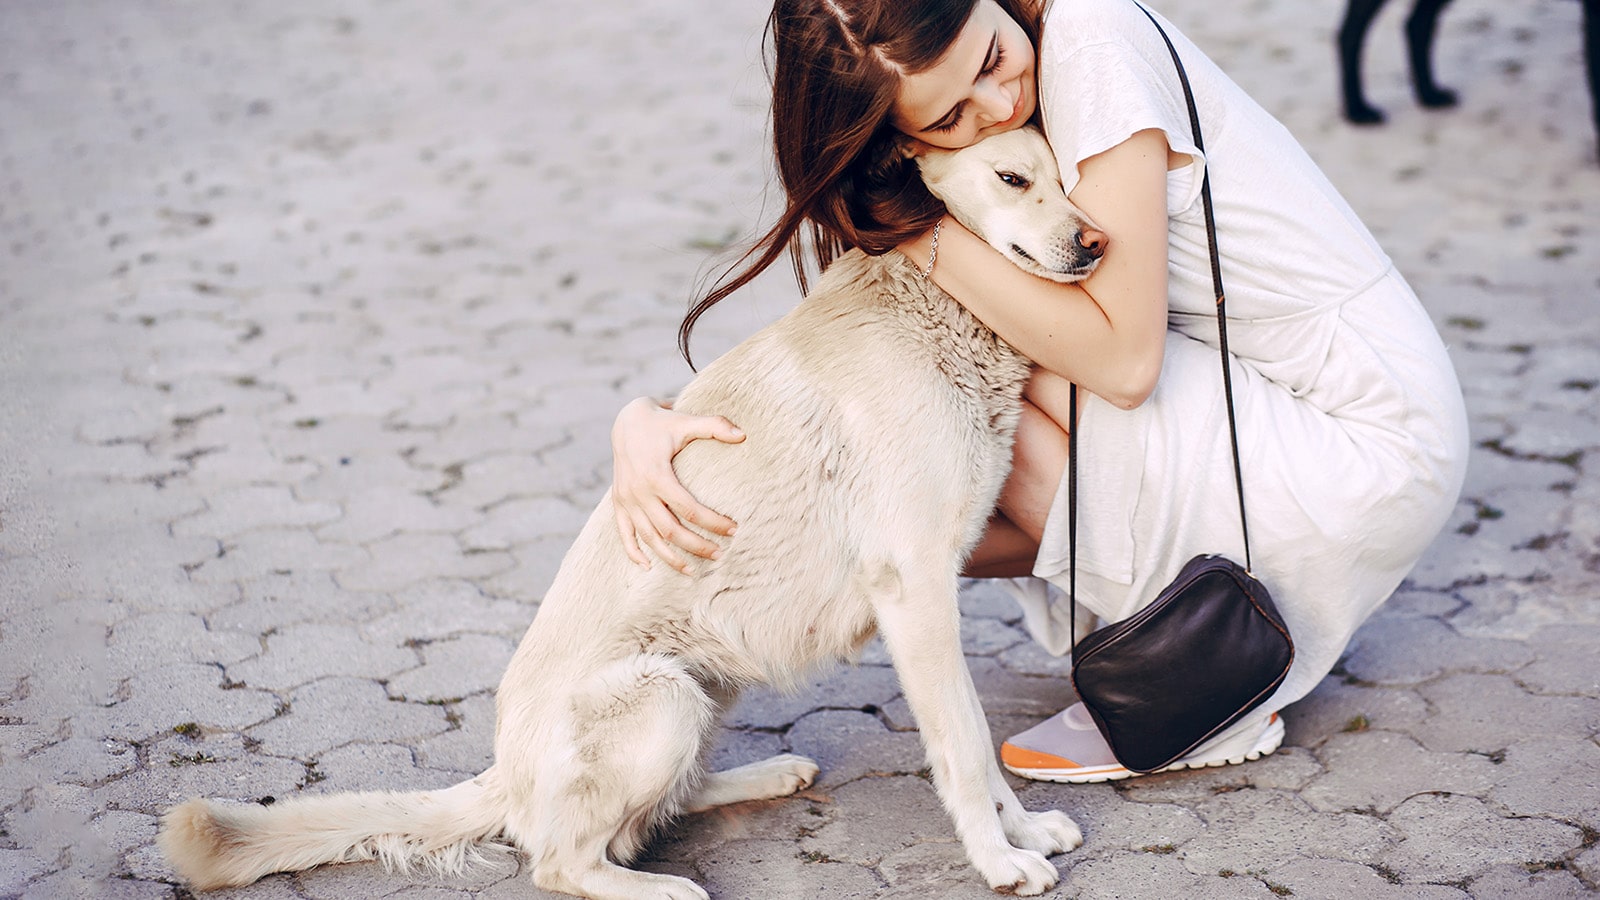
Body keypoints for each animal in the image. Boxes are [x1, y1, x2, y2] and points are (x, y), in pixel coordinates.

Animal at [165, 126, 1113, 896]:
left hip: (703, 686)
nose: (1095, 244)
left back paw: (766, 777)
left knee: (663, 805)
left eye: (1071, 177)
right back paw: (662, 889)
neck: (933, 304)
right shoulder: (915, 590)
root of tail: (503, 772)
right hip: (658, 698)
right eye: (1013, 179)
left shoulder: (935, 588)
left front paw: (1023, 833)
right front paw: (1000, 861)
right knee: (561, 860)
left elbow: (980, 744)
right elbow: (965, 745)